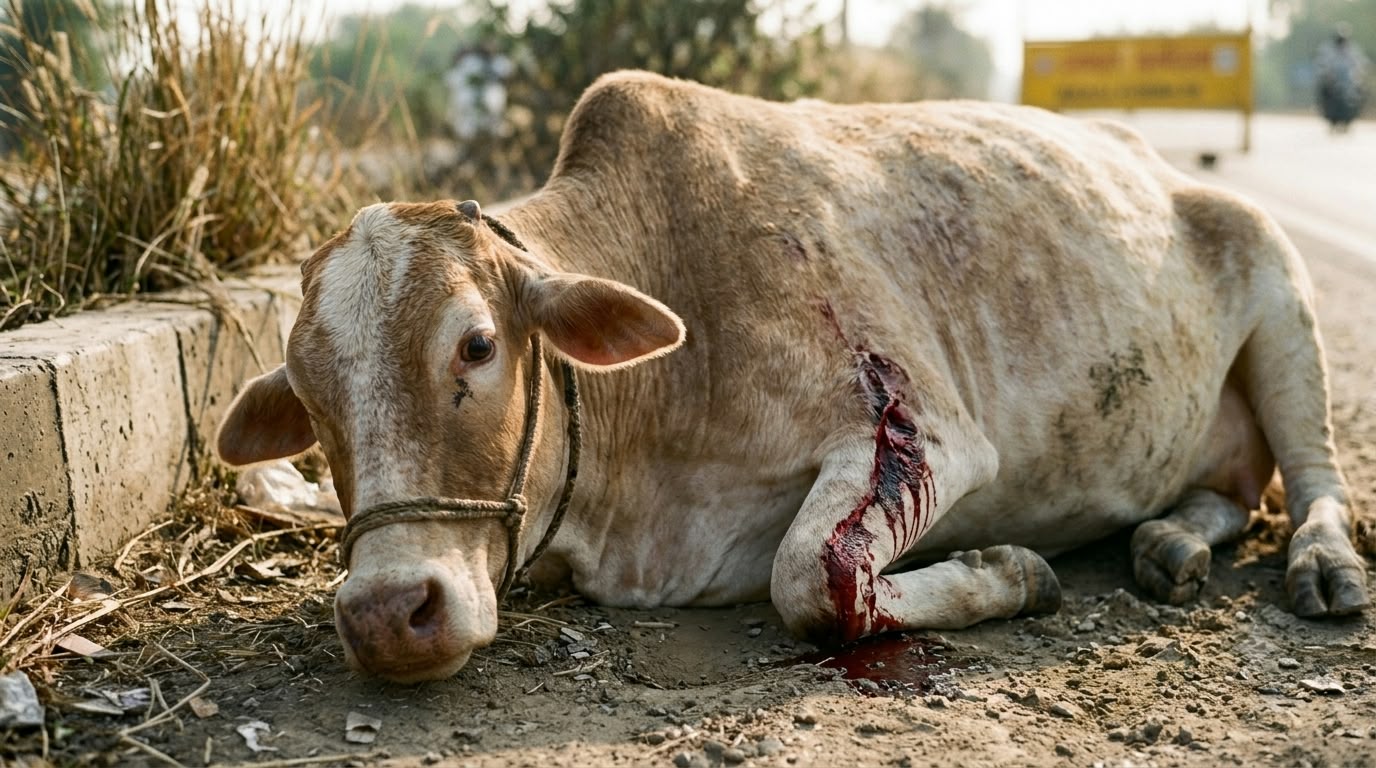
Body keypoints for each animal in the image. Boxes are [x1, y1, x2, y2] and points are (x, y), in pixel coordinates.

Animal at [216, 71, 1370, 682]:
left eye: (475, 345)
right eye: (307, 392)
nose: (385, 612)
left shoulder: (920, 429)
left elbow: (810, 582)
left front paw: (1014, 571)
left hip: (1282, 297)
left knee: (1311, 475)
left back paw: (1318, 564)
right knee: (1229, 491)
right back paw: (1170, 543)